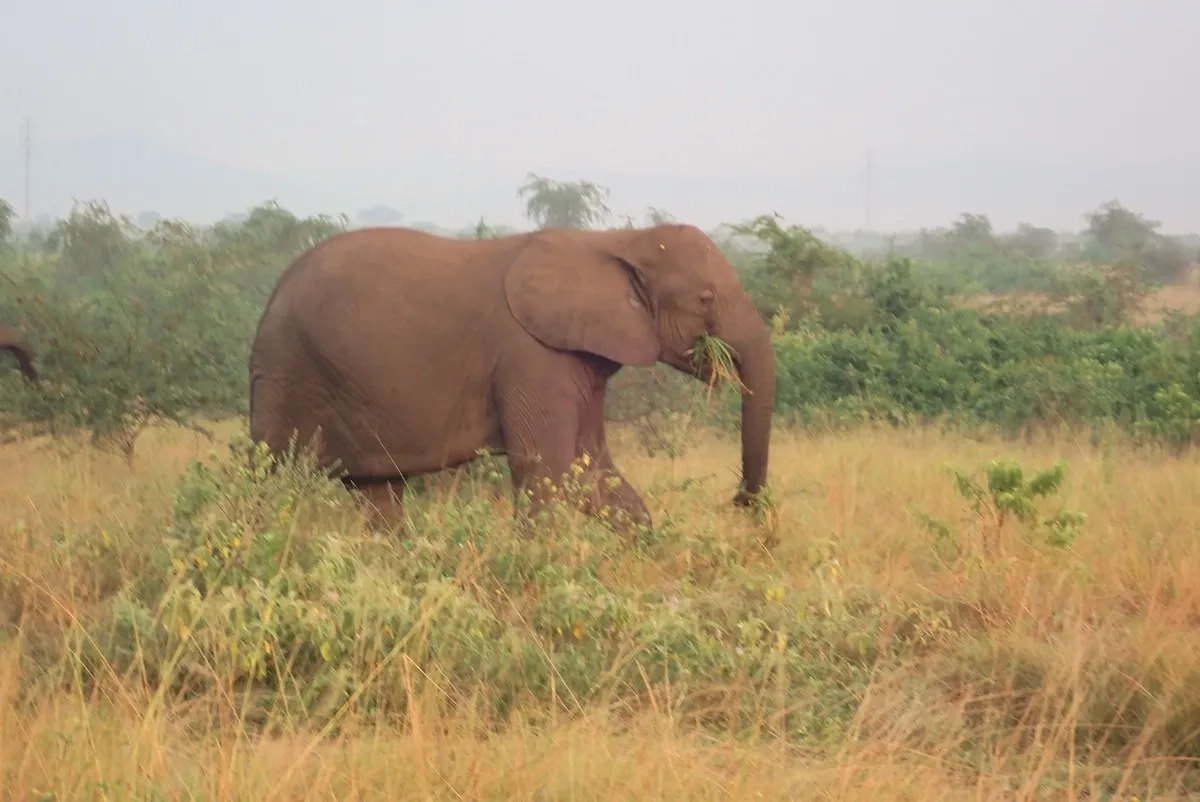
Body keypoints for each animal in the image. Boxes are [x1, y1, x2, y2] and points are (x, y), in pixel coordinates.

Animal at [248, 222, 776, 532]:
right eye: (706, 299)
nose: (738, 502)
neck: (615, 240)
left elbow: (593, 471)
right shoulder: (532, 356)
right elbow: (547, 472)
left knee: (378, 491)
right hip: (285, 369)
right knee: (269, 478)